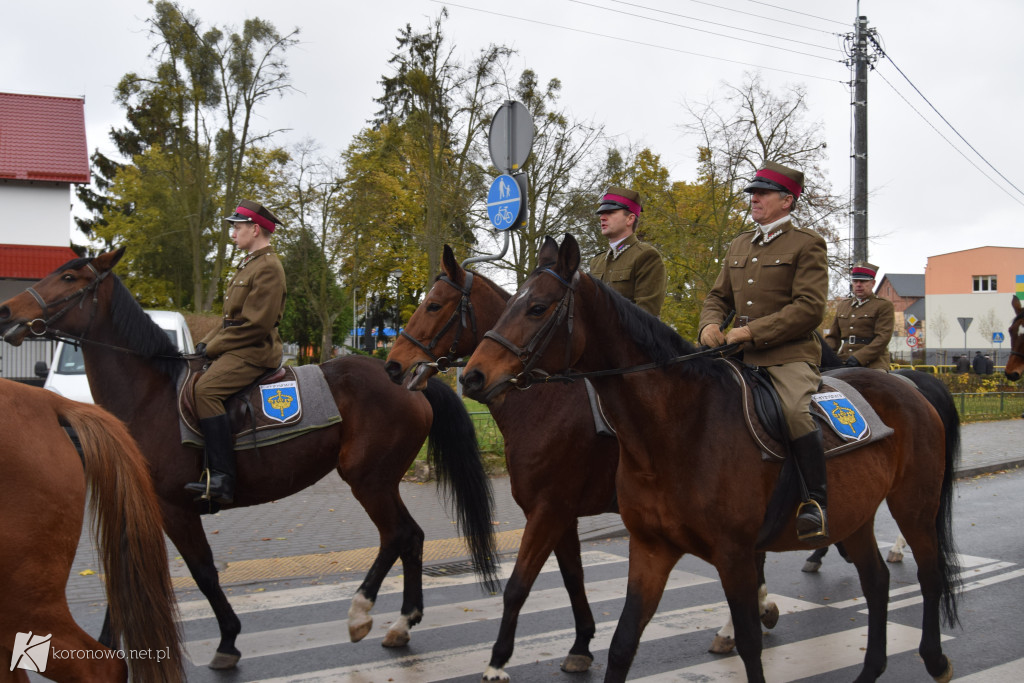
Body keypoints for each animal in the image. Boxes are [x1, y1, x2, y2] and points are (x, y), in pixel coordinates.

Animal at [385, 245, 774, 679]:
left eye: (434, 305)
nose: (393, 364)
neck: (544, 401)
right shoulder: (561, 513)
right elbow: (573, 578)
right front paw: (581, 645)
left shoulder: (548, 510)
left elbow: (518, 585)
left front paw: (498, 660)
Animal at [462, 236, 958, 683]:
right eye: (508, 306)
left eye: (537, 307)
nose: (471, 376)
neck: (676, 427)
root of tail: (911, 387)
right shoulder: (649, 548)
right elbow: (622, 642)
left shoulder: (732, 553)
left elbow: (751, 643)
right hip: (853, 516)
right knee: (876, 583)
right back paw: (870, 668)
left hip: (914, 504)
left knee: (931, 574)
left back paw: (935, 659)